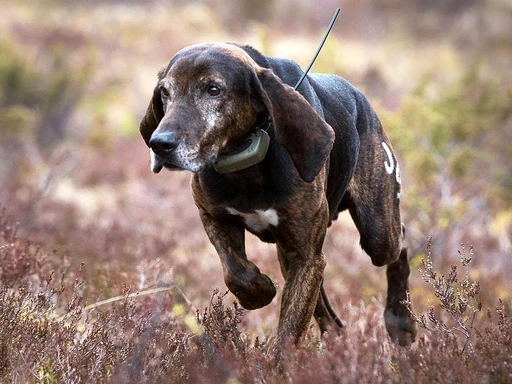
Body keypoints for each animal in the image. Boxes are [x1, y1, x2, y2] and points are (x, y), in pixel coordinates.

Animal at [139, 42, 416, 356]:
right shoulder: (214, 217)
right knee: (324, 305)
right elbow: (237, 272)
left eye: (213, 89)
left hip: (377, 232)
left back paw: (400, 322)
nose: (160, 144)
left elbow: (289, 332)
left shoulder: (305, 253)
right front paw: (260, 290)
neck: (245, 166)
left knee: (398, 244)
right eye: (165, 92)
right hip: (293, 251)